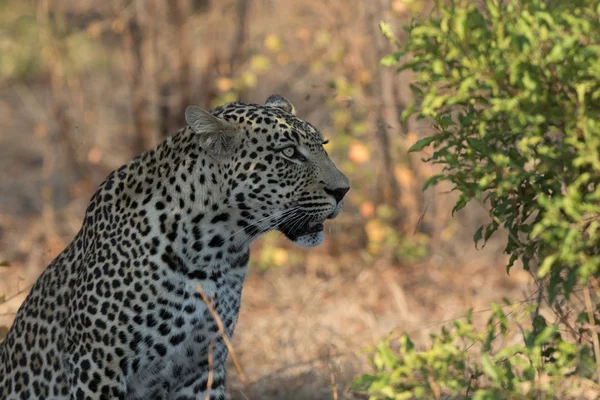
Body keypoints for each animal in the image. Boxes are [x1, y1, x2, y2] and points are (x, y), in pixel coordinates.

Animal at [0, 95, 350, 398]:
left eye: (323, 146)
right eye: (289, 152)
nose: (343, 190)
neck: (214, 249)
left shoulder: (203, 367)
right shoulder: (97, 366)